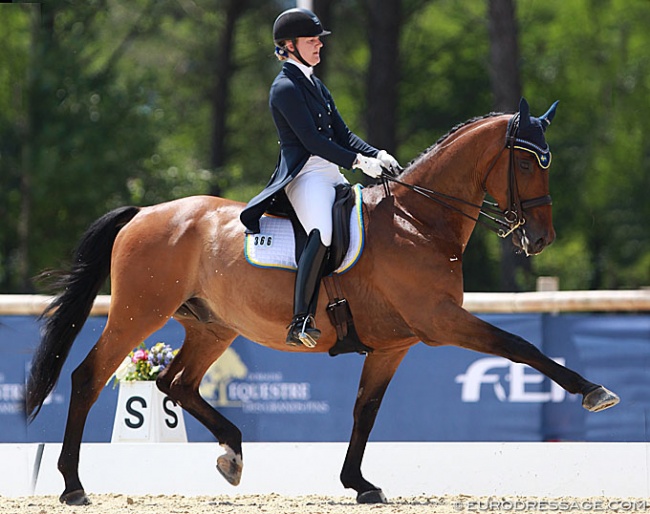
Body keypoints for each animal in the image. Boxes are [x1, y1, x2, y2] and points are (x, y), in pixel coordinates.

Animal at [25, 98, 616, 502]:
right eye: (528, 164)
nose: (541, 239)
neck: (419, 222)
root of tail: (146, 212)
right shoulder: (441, 321)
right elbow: (521, 346)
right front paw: (594, 391)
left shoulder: (394, 344)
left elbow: (364, 411)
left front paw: (359, 482)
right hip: (138, 313)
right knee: (89, 377)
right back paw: (73, 485)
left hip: (213, 326)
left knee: (176, 383)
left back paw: (232, 453)